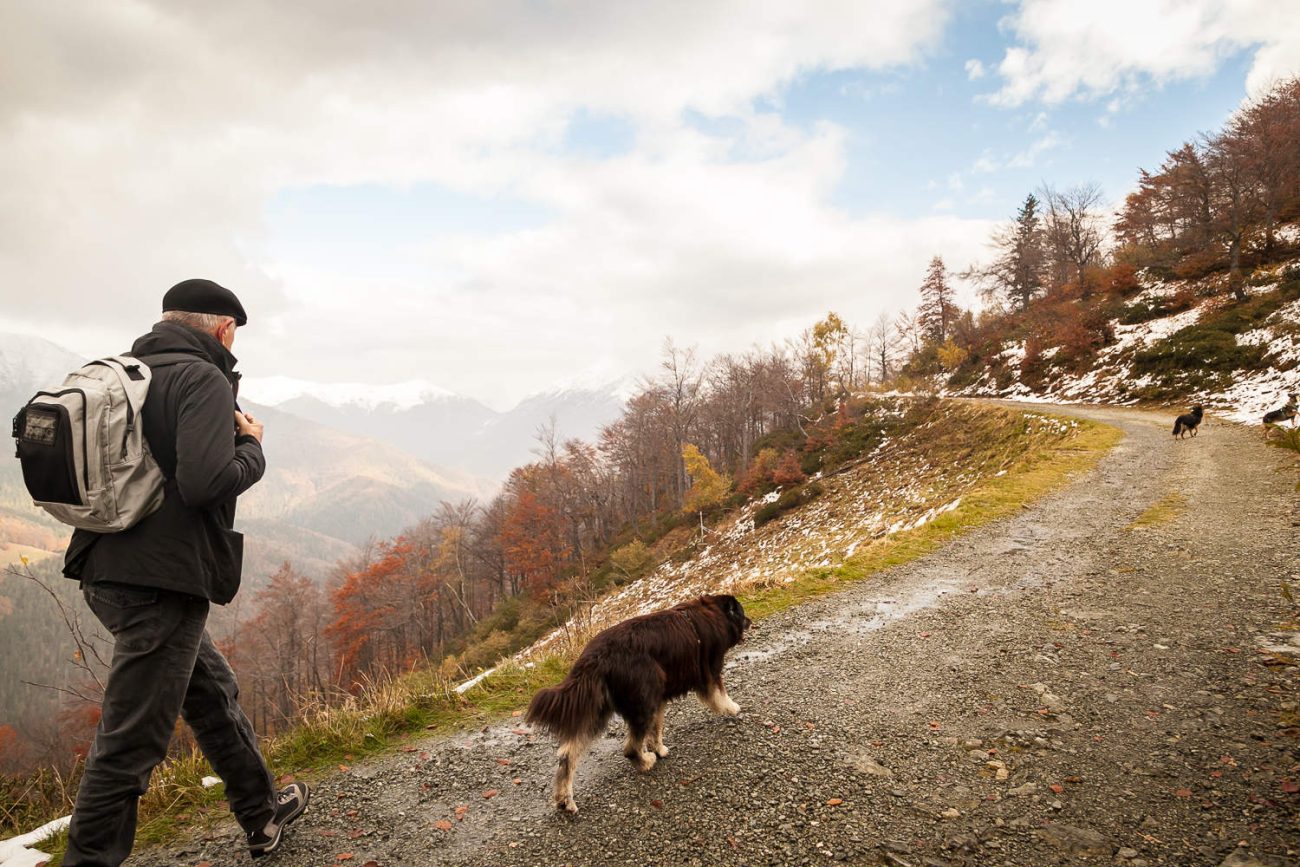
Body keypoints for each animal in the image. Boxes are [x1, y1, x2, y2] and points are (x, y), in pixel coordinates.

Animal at [525, 592, 754, 811]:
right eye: (742, 613)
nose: (750, 621)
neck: (711, 613)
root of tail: (596, 657)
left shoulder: (660, 698)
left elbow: (656, 730)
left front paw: (658, 748)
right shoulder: (709, 672)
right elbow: (719, 696)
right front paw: (733, 708)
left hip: (600, 710)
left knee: (567, 755)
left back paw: (565, 799)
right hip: (642, 702)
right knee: (630, 748)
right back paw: (645, 762)